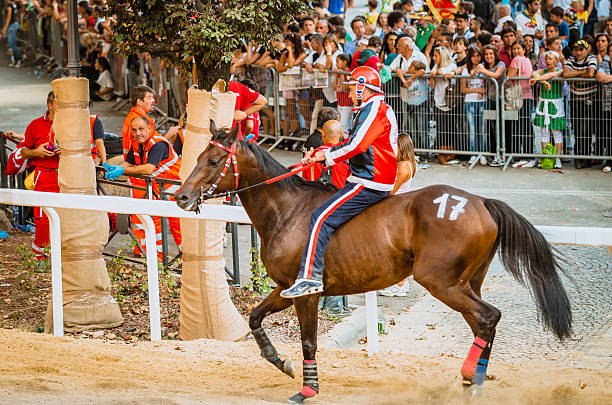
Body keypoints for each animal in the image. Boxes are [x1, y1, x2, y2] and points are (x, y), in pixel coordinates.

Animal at [175, 124, 572, 404]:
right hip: (466, 283)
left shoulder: (306, 294)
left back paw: (469, 377)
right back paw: (472, 380)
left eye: (214, 162)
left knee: (489, 317)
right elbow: (255, 318)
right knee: (483, 324)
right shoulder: (285, 288)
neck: (288, 211)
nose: (181, 196)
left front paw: (307, 389)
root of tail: (479, 202)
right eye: (196, 157)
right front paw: (280, 362)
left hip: (441, 283)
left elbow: (308, 342)